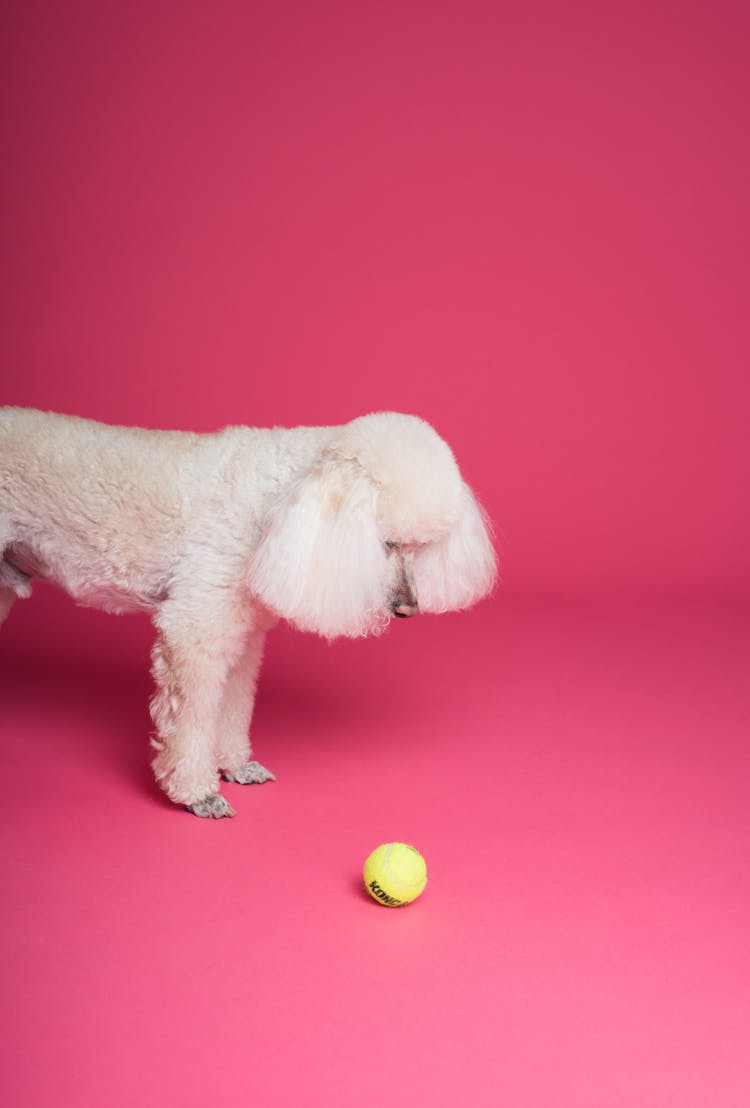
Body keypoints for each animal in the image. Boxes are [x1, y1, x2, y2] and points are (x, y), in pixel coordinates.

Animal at [1, 407, 496, 815]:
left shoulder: (240, 635)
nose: (409, 608)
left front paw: (235, 766)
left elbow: (233, 704)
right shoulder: (194, 632)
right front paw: (197, 793)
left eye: (422, 546)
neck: (281, 498)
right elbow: (191, 720)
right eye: (387, 543)